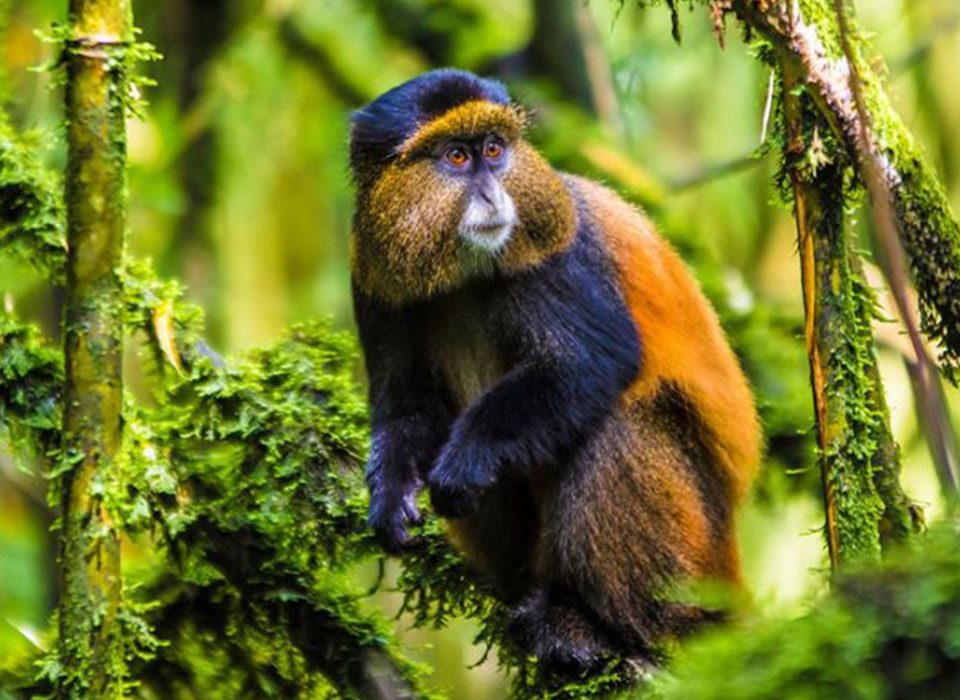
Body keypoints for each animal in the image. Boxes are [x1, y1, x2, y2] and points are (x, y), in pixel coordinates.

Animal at [348, 69, 761, 671]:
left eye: (494, 150)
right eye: (456, 157)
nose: (494, 193)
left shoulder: (554, 255)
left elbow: (591, 363)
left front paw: (467, 457)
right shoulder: (374, 280)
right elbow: (406, 404)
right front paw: (391, 493)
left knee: (619, 423)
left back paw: (602, 625)